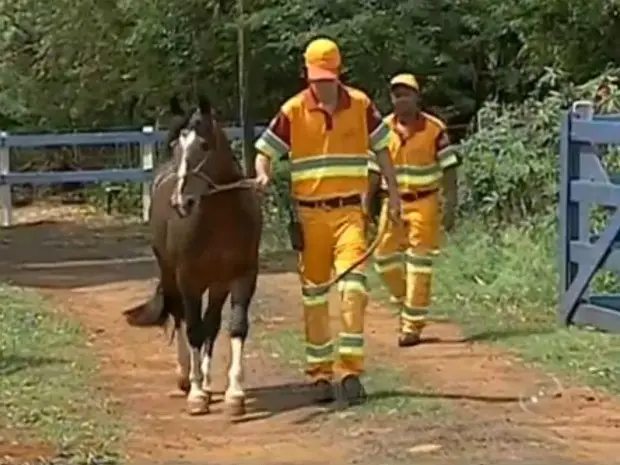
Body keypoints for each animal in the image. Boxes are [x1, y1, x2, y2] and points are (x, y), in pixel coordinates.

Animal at [123, 94, 262, 414]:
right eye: (176, 145)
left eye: (205, 145)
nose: (180, 201)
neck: (221, 219)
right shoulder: (188, 279)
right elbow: (193, 329)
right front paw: (197, 394)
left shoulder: (242, 277)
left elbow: (234, 327)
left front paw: (234, 394)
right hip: (171, 275)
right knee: (180, 316)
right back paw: (186, 376)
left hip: (217, 283)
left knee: (210, 323)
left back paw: (208, 381)